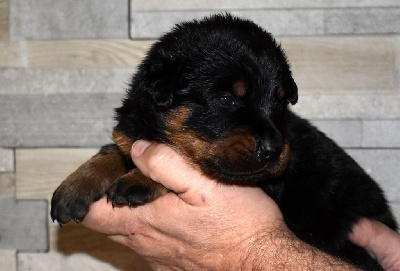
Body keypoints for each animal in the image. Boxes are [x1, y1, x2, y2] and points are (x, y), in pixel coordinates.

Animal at [50, 14, 396, 270]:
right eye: (227, 99)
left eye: (280, 102)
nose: (273, 150)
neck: (155, 130)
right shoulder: (131, 134)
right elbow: (113, 151)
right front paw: (74, 187)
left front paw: (138, 181)